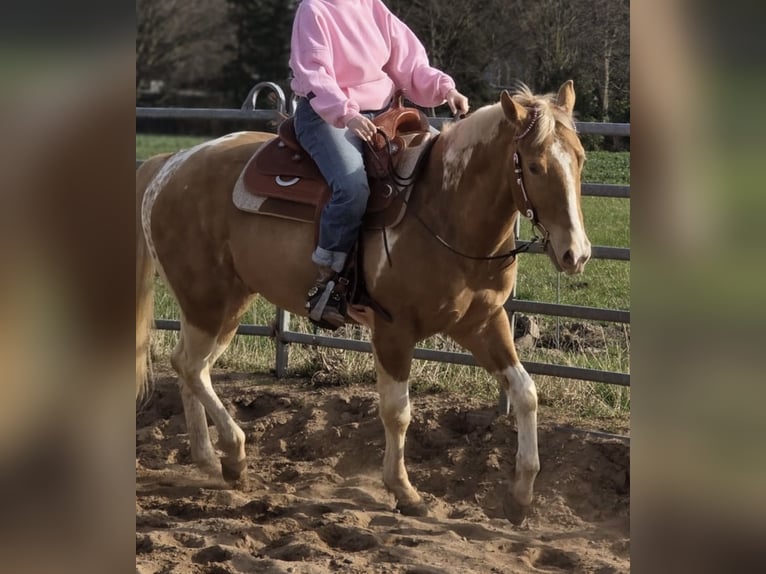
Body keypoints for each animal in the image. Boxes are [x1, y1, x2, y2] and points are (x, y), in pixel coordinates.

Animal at [136, 81, 591, 524]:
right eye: (534, 166)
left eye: (581, 160)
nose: (577, 254)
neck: (443, 208)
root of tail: (171, 164)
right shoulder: (393, 331)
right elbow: (397, 411)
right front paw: (405, 492)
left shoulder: (484, 323)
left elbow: (525, 392)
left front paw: (520, 496)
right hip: (209, 301)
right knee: (190, 366)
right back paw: (233, 454)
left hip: (223, 302)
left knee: (190, 367)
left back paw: (209, 460)